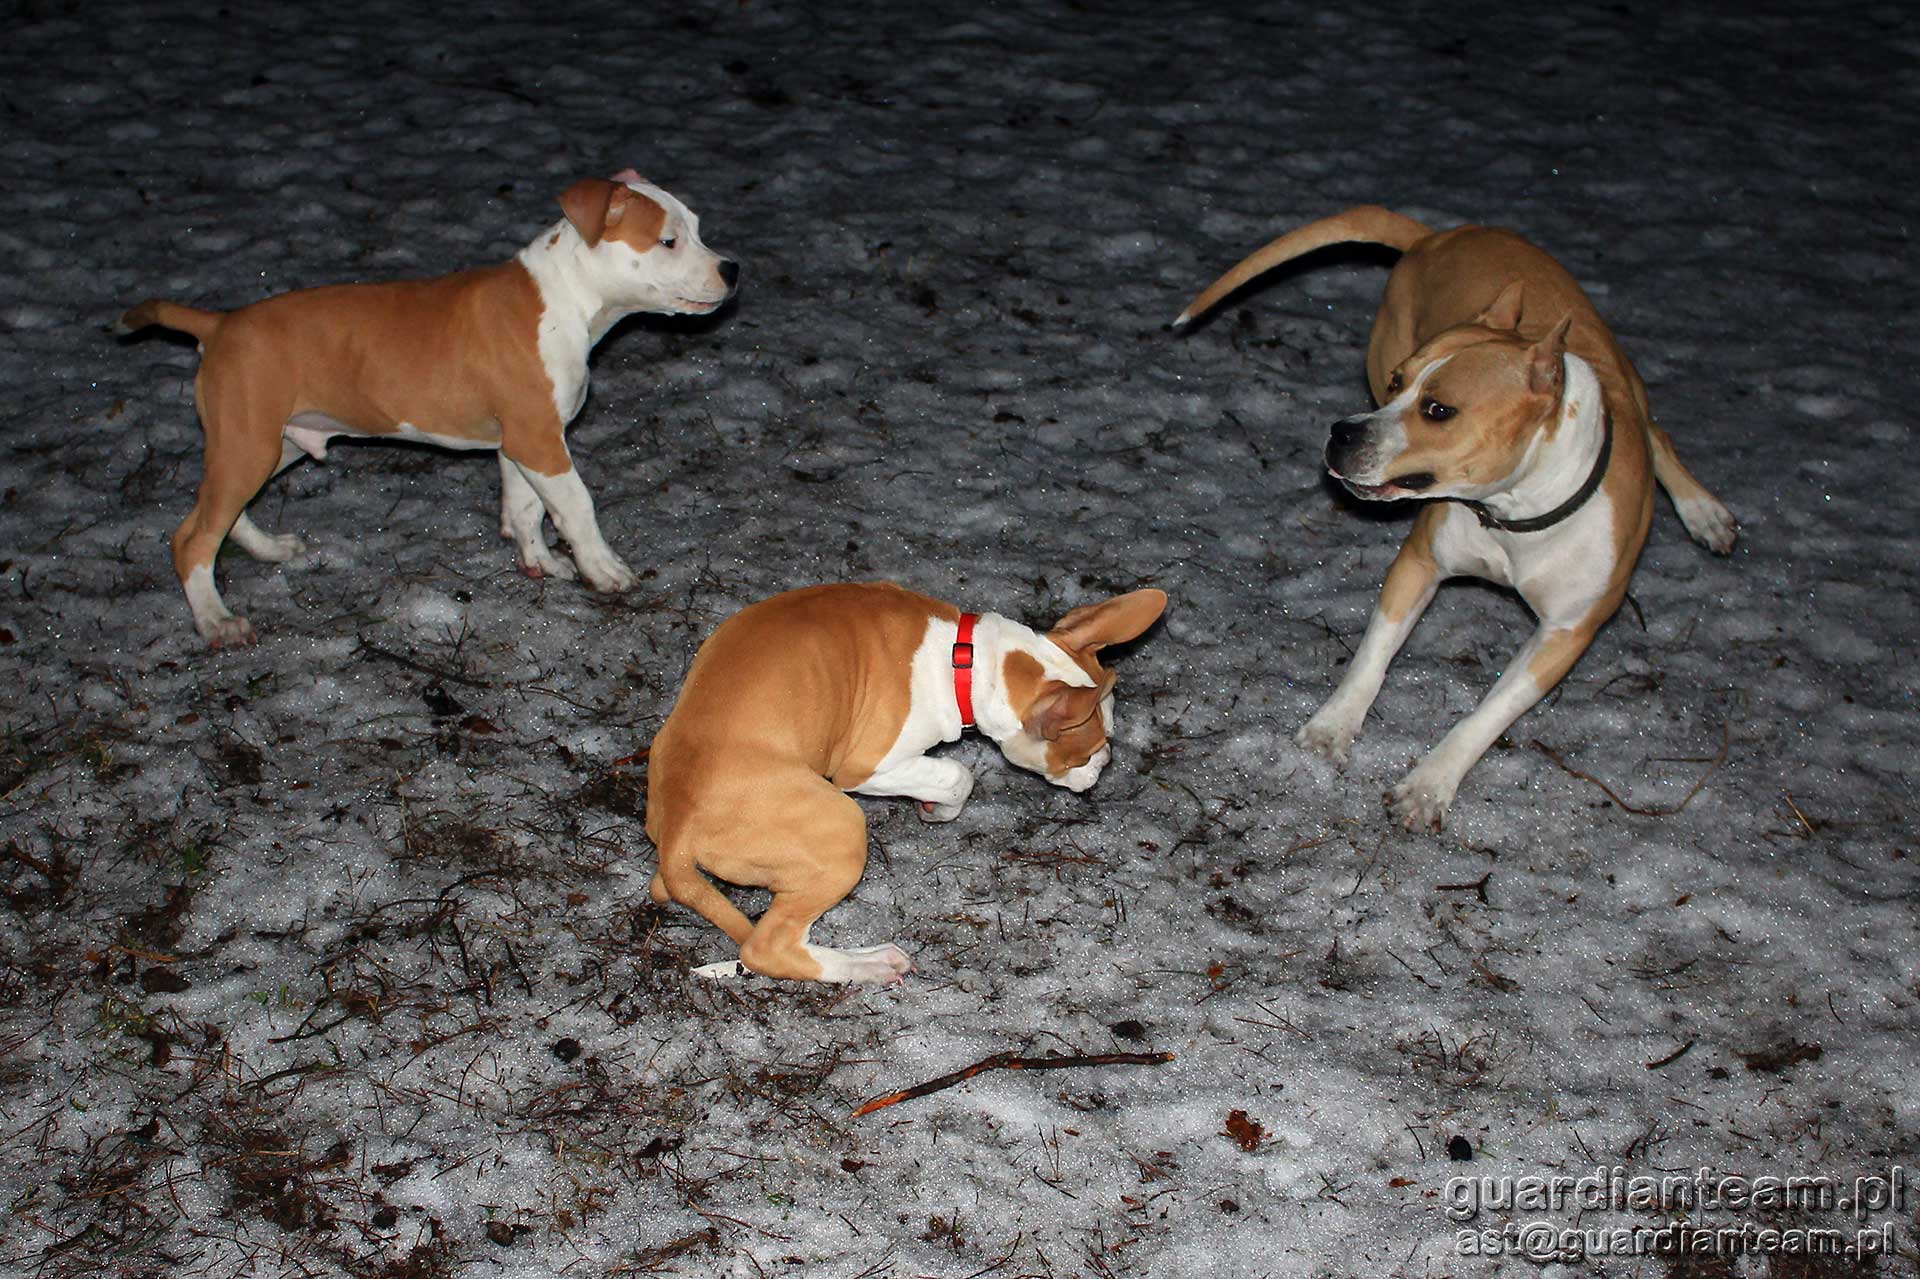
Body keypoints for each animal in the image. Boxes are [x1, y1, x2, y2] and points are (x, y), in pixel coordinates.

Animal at [118, 171, 738, 646]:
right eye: (668, 241)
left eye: (698, 229)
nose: (732, 268)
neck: (567, 298)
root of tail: (219, 324)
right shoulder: (540, 440)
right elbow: (576, 506)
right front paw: (603, 569)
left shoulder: (521, 441)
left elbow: (525, 509)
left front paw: (539, 562)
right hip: (250, 440)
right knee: (193, 537)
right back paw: (215, 621)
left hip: (274, 442)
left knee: (218, 512)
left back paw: (268, 549)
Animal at [644, 582, 1168, 982]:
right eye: (1084, 751)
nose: (1104, 765)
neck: (967, 659)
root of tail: (676, 836)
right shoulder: (867, 767)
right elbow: (957, 775)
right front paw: (939, 809)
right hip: (843, 824)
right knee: (767, 948)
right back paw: (870, 964)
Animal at [1175, 206, 1736, 830]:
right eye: (1398, 382)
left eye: (1439, 410)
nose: (1341, 434)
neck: (1514, 513)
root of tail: (1439, 236)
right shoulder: (1420, 563)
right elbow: (1372, 656)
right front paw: (1333, 728)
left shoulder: (1567, 632)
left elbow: (1490, 712)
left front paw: (1430, 784)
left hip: (1627, 381)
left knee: (1657, 433)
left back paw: (1705, 512)